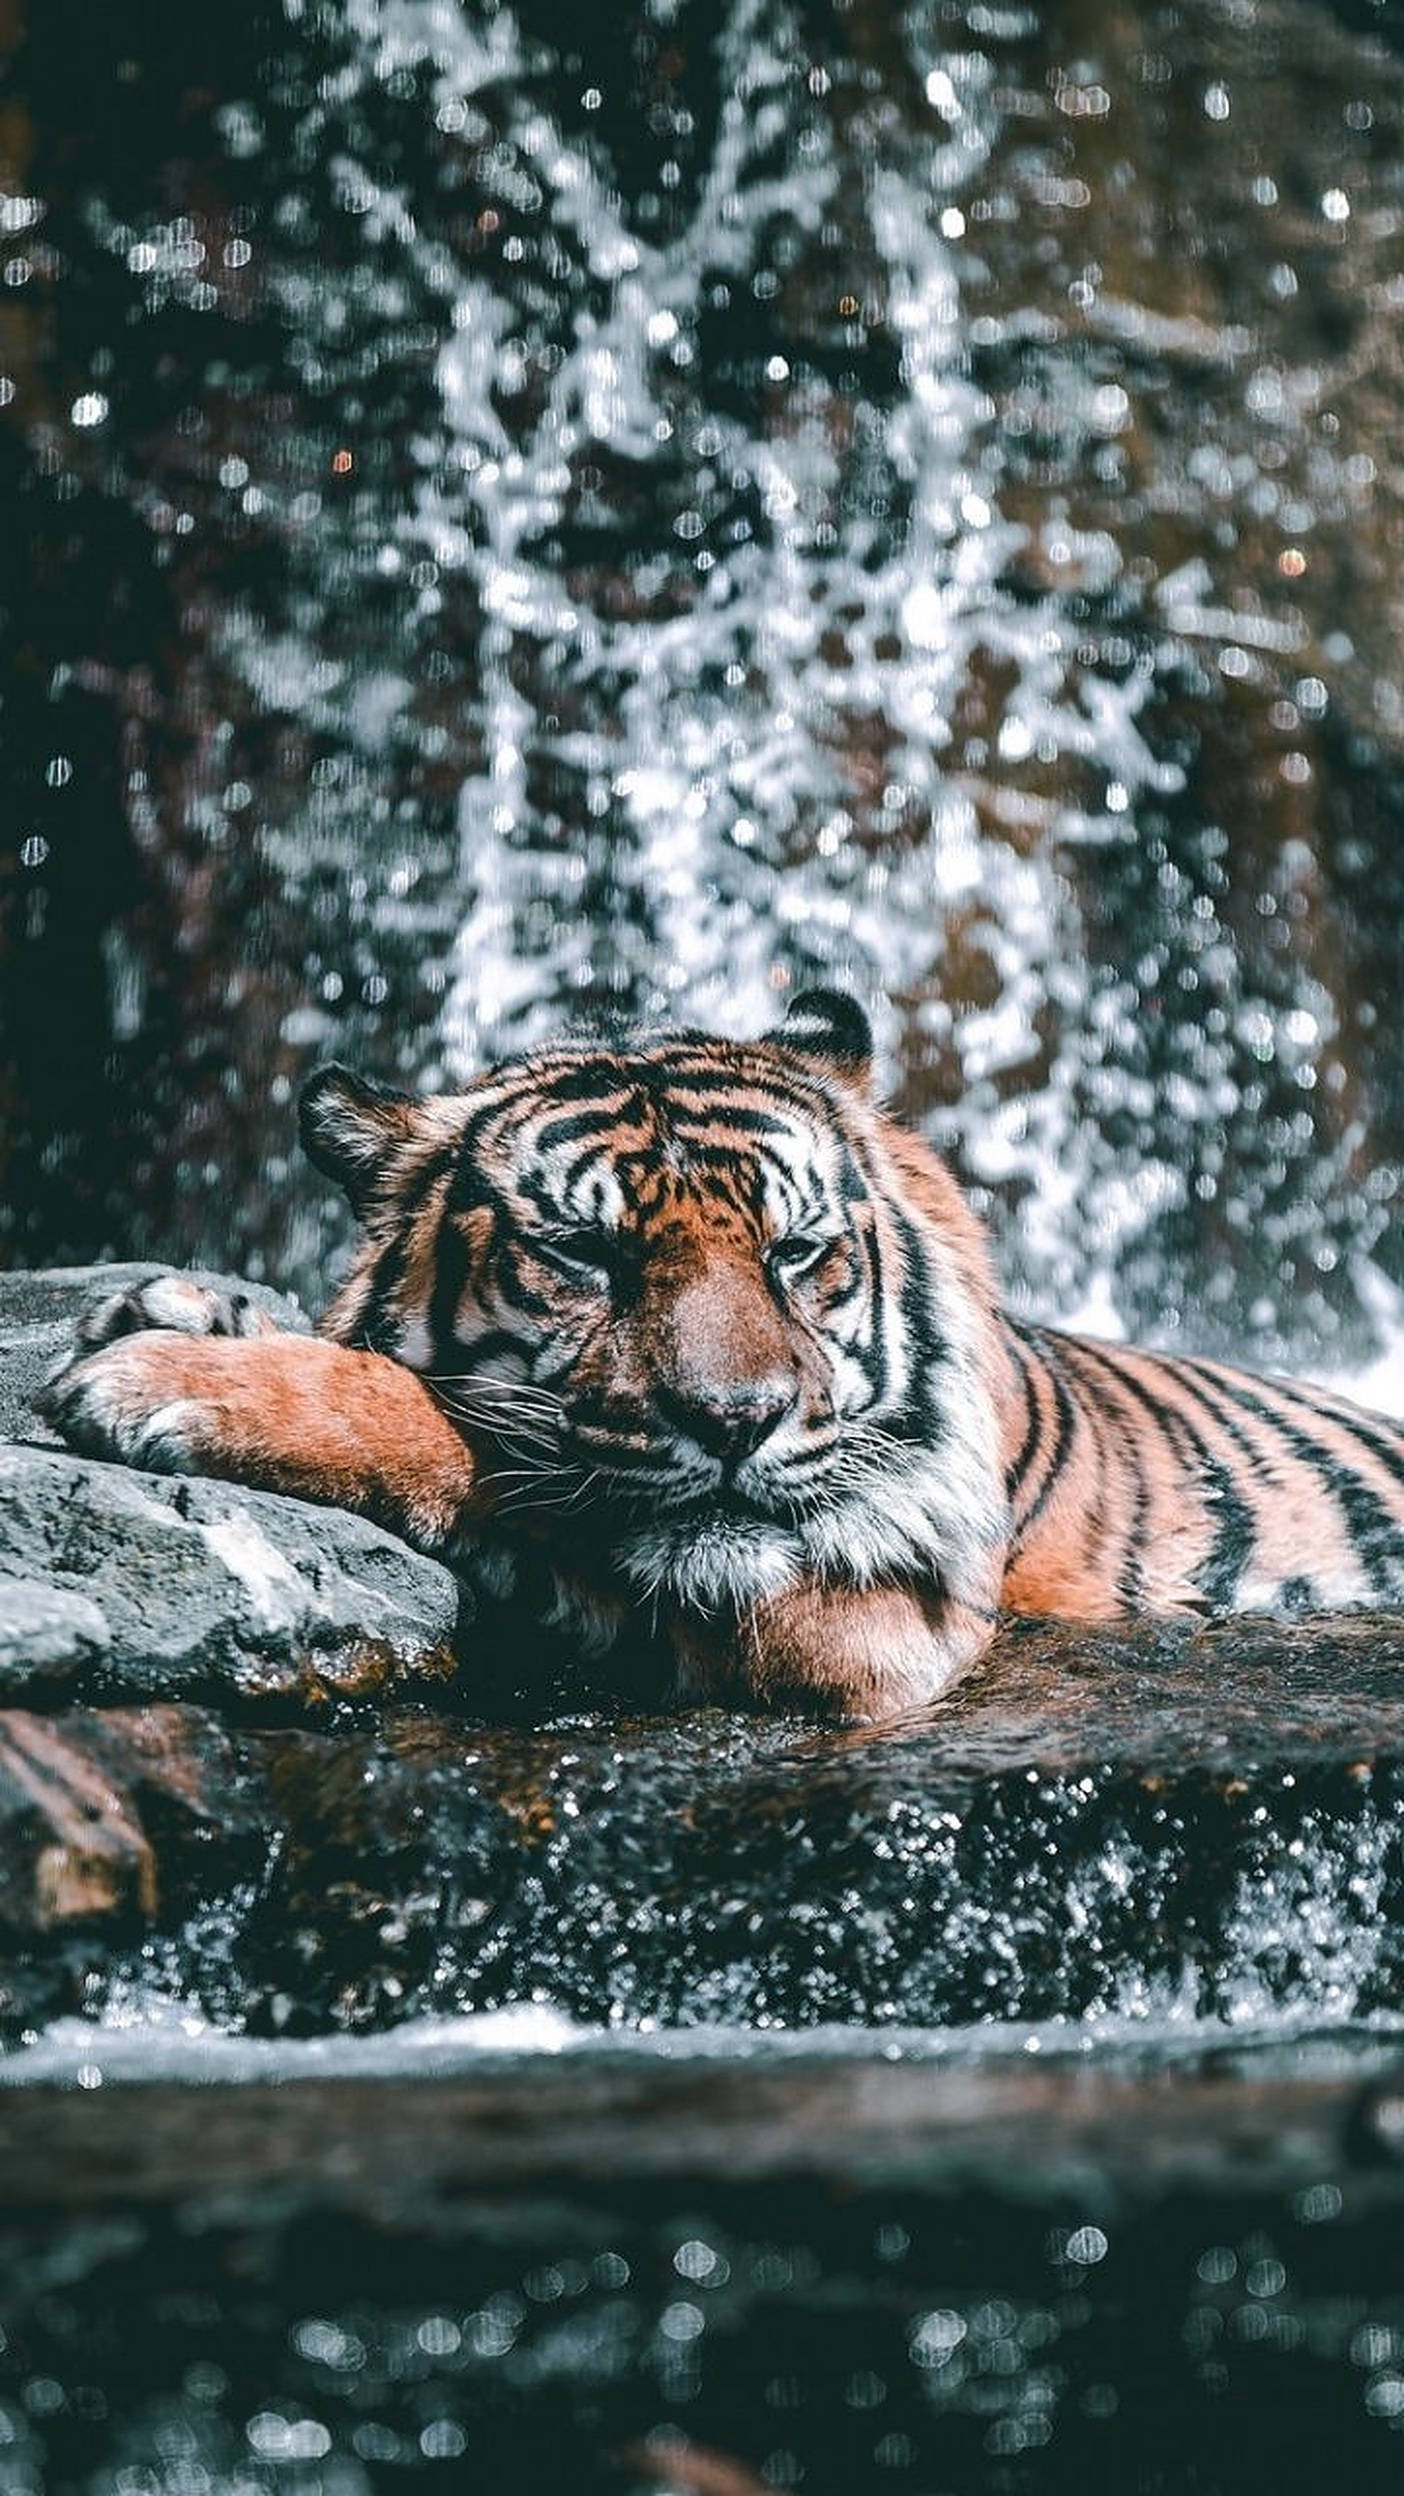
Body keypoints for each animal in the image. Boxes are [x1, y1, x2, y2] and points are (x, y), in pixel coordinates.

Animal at [36, 988, 1404, 1719]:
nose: (738, 1421)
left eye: (796, 1253)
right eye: (586, 1253)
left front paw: (167, 1376)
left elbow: (477, 1436)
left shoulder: (886, 1606)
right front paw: (178, 1309)